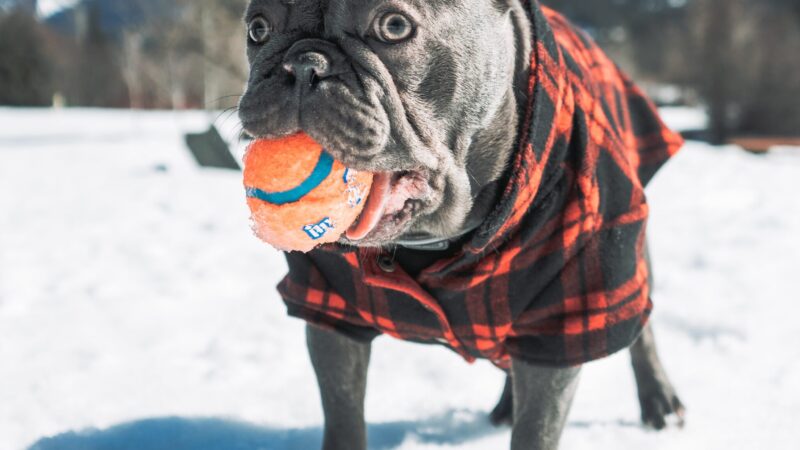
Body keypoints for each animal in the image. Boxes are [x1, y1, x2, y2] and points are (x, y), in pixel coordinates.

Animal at [238, 1, 688, 448]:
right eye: (258, 29)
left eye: (393, 26)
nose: (303, 64)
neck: (430, 240)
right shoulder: (330, 314)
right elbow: (343, 416)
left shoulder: (565, 322)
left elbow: (536, 428)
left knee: (642, 329)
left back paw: (660, 401)